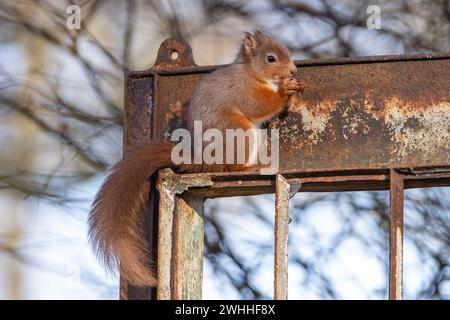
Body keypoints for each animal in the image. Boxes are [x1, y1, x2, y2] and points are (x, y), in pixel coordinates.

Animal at [89, 30, 302, 286]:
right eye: (271, 58)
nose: (293, 70)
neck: (250, 72)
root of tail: (203, 160)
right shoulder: (243, 90)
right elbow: (260, 105)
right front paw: (286, 90)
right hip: (238, 132)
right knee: (231, 166)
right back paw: (250, 166)